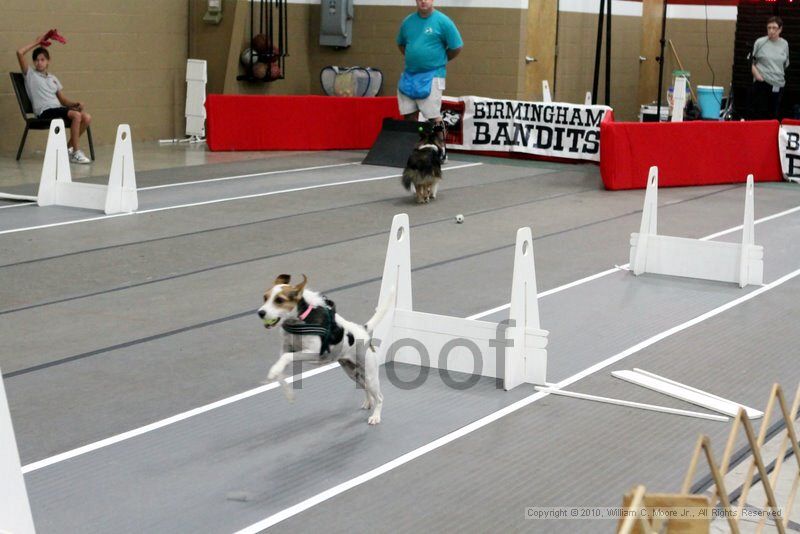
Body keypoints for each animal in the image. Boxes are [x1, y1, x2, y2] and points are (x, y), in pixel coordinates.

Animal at [258, 276, 392, 428]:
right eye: (265, 297)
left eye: (279, 300)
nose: (260, 312)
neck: (301, 319)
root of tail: (362, 330)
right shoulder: (285, 349)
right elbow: (281, 370)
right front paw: (287, 391)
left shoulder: (313, 352)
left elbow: (287, 357)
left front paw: (274, 373)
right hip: (353, 374)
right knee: (366, 389)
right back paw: (368, 402)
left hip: (370, 375)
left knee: (380, 397)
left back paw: (375, 416)